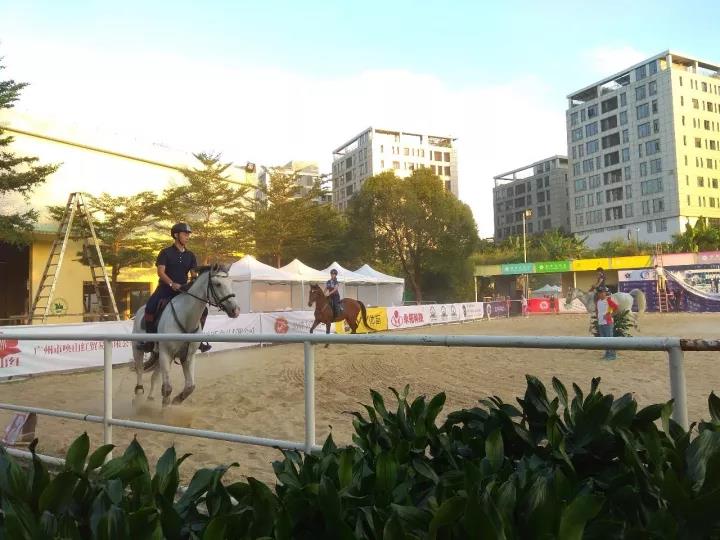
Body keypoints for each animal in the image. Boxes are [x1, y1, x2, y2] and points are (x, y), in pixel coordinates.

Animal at [131, 264, 239, 406]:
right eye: (218, 284)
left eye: (231, 282)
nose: (235, 310)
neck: (186, 318)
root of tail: (139, 311)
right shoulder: (166, 353)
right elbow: (167, 389)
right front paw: (166, 407)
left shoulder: (187, 356)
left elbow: (190, 386)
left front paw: (177, 399)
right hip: (138, 349)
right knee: (139, 370)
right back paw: (139, 396)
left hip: (159, 355)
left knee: (154, 376)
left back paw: (150, 398)